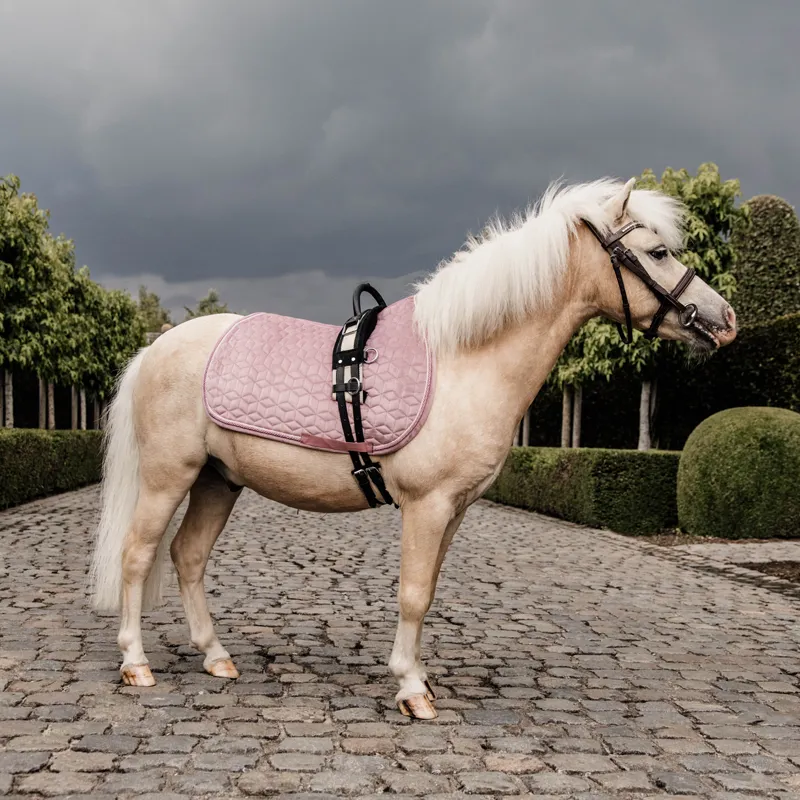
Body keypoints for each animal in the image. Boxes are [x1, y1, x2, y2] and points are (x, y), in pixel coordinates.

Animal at [89, 177, 737, 720]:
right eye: (658, 252)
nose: (724, 319)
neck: (462, 361)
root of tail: (156, 348)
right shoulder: (427, 506)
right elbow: (413, 594)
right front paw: (411, 691)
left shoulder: (454, 511)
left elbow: (427, 594)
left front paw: (418, 677)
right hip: (168, 478)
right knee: (137, 555)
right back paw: (136, 664)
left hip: (218, 480)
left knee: (188, 557)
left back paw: (217, 657)